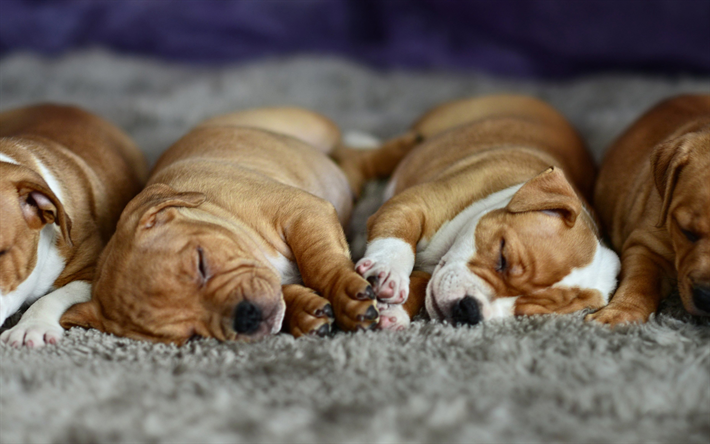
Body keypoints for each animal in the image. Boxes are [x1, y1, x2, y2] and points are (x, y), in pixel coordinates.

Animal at [58, 106, 414, 344]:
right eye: (191, 336)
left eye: (201, 262)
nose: (245, 318)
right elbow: (286, 293)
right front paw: (304, 312)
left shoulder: (303, 211)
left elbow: (319, 263)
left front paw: (346, 297)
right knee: (354, 164)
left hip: (311, 130)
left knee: (354, 155)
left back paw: (406, 143)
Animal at [356, 94, 624, 330]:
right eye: (502, 257)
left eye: (527, 312)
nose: (470, 310)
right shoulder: (411, 204)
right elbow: (397, 238)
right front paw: (388, 270)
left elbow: (421, 286)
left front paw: (393, 313)